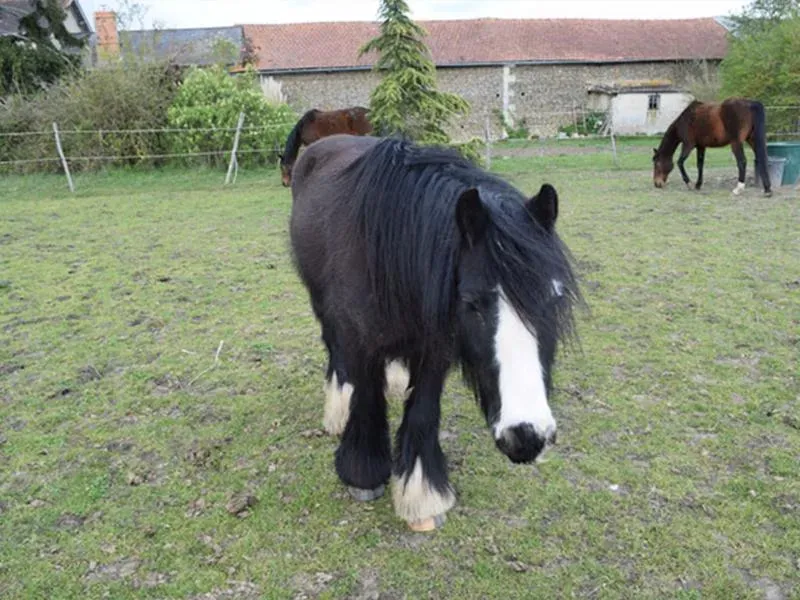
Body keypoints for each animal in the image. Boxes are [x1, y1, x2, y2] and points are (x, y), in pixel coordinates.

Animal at [289, 134, 580, 532]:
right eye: (472, 302)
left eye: (556, 296)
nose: (527, 437)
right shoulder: (360, 340)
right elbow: (367, 398)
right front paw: (363, 474)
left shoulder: (435, 348)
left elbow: (423, 411)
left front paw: (422, 496)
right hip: (321, 303)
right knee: (335, 353)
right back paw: (337, 409)